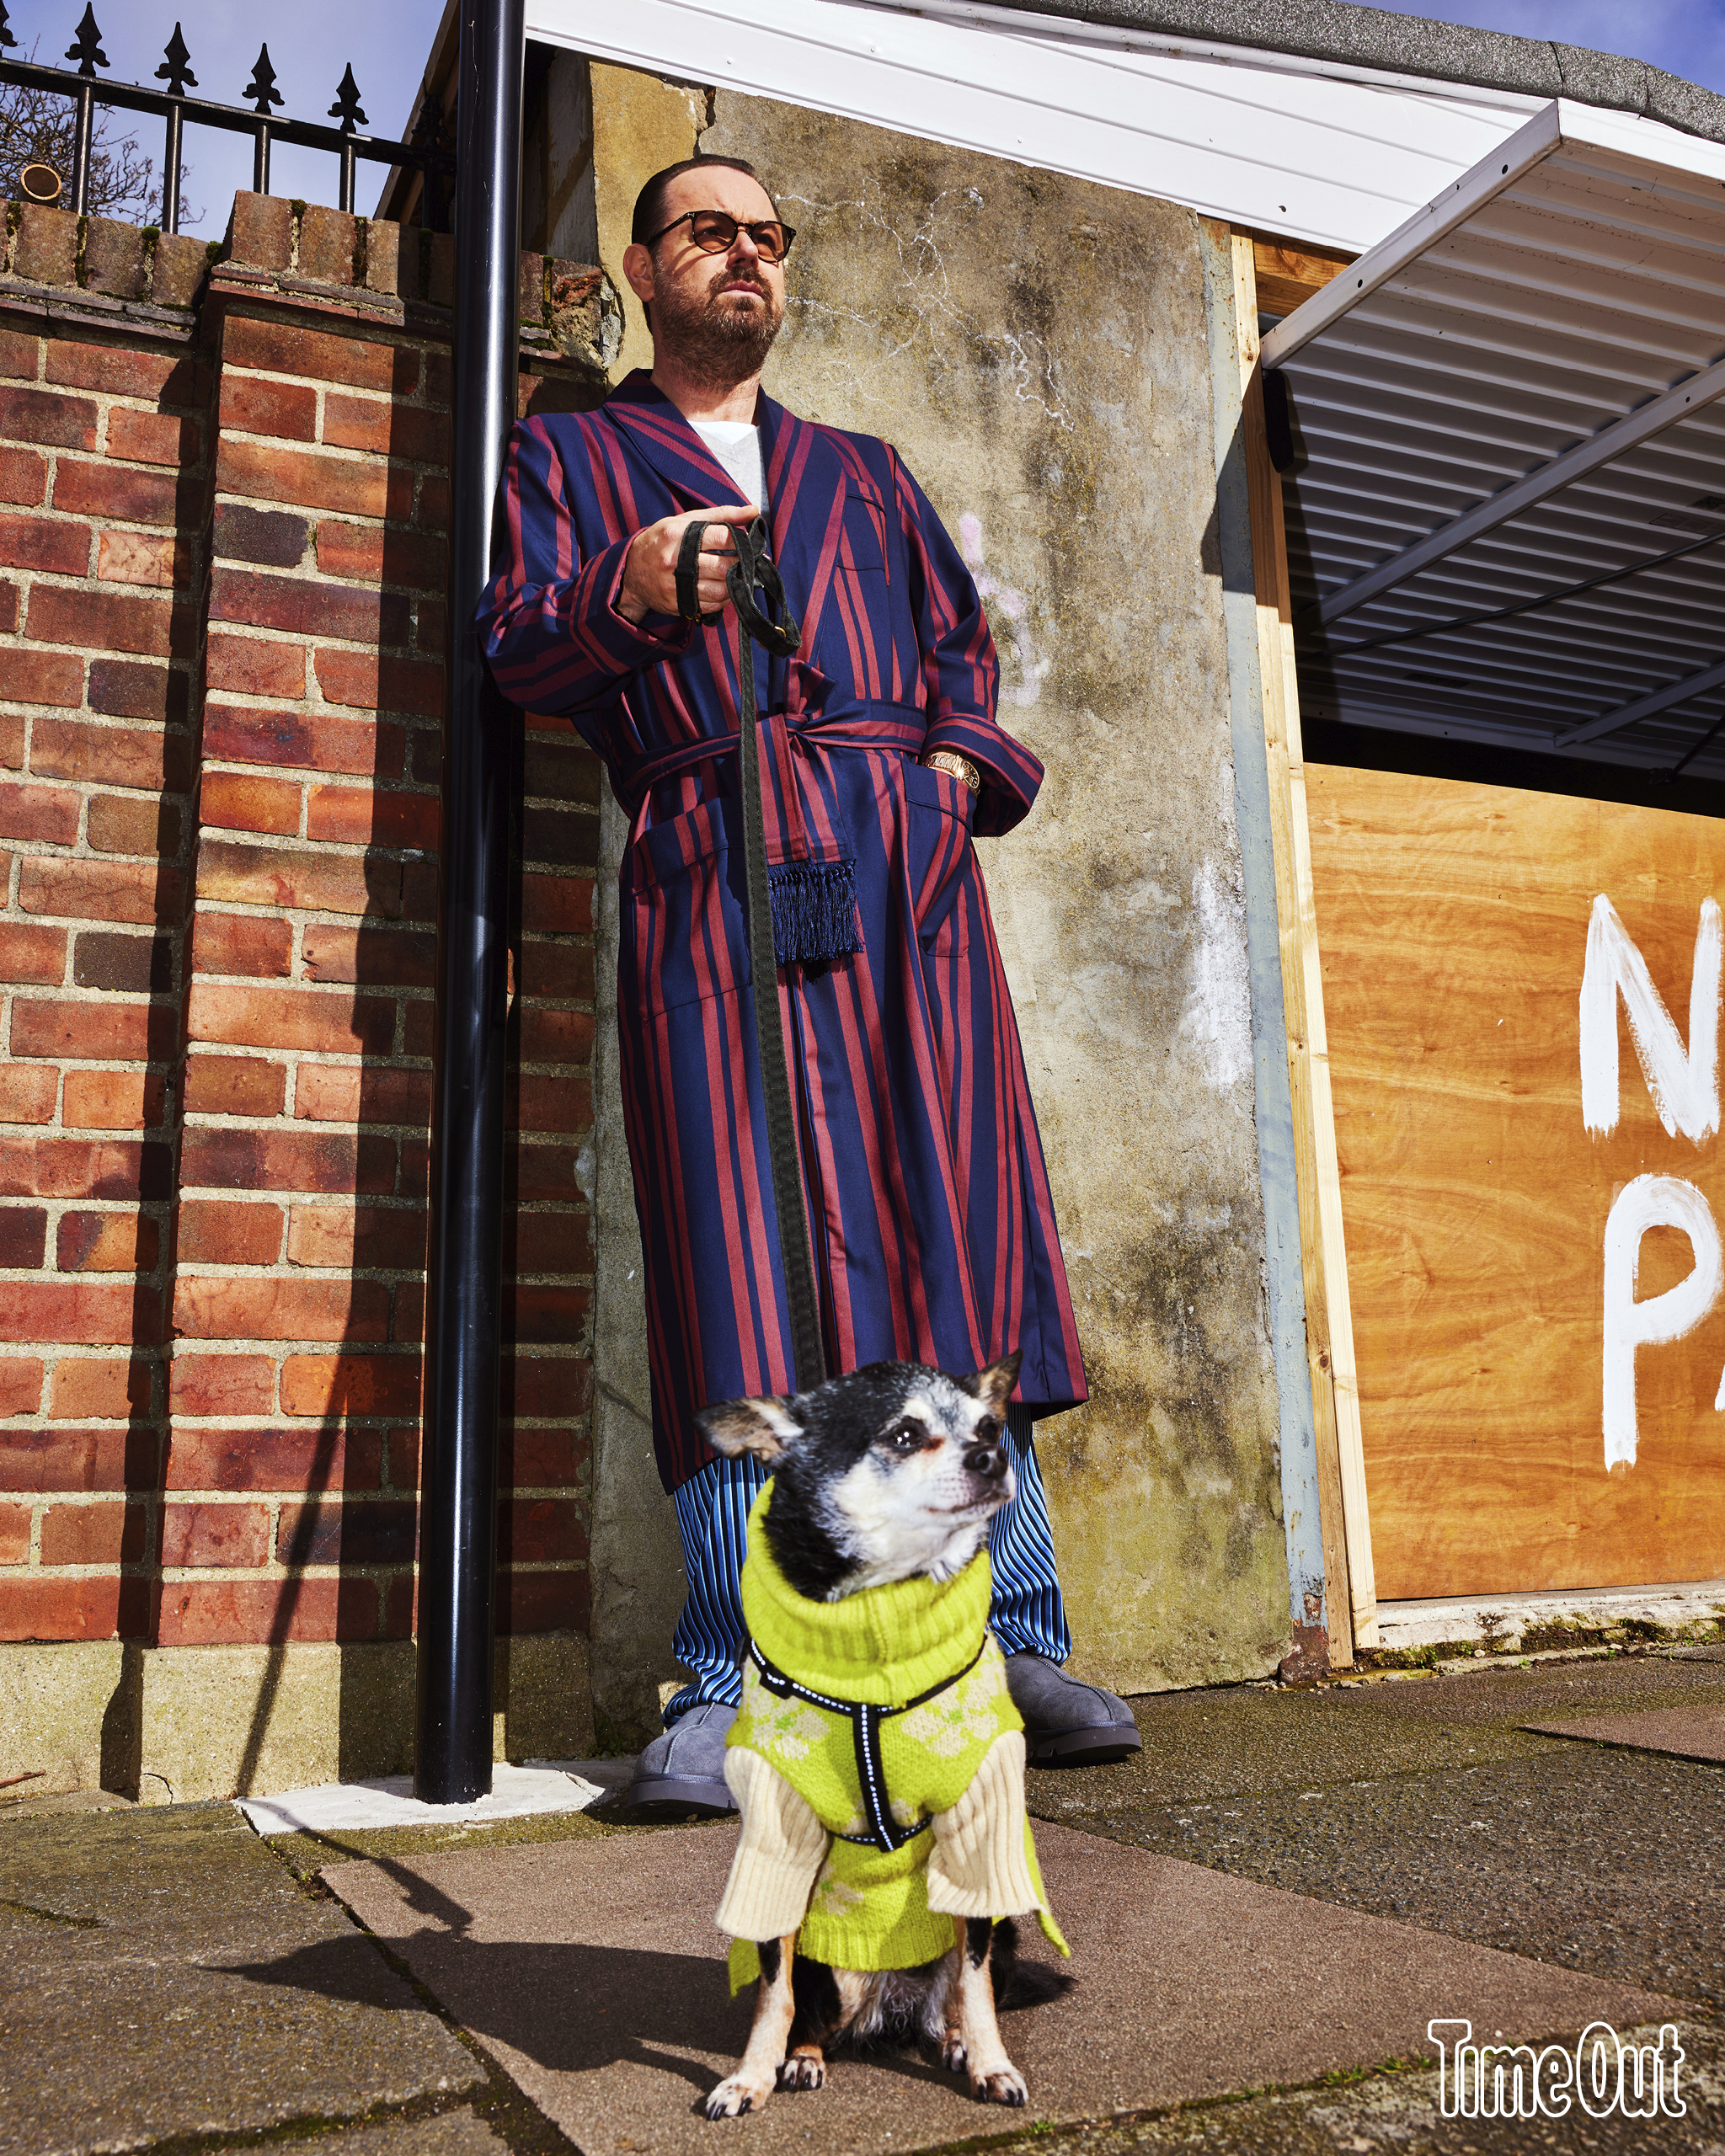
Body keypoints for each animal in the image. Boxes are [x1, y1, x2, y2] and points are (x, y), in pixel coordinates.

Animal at [686, 1353, 1065, 2112]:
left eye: (988, 1427)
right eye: (905, 1435)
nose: (992, 1456)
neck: (881, 1614)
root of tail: (891, 2006)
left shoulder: (977, 1835)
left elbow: (976, 1983)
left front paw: (991, 2062)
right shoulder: (778, 1840)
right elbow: (772, 1990)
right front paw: (749, 2075)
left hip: (997, 1929)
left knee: (957, 1993)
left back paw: (953, 2042)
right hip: (829, 1971)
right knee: (812, 2014)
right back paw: (803, 2059)